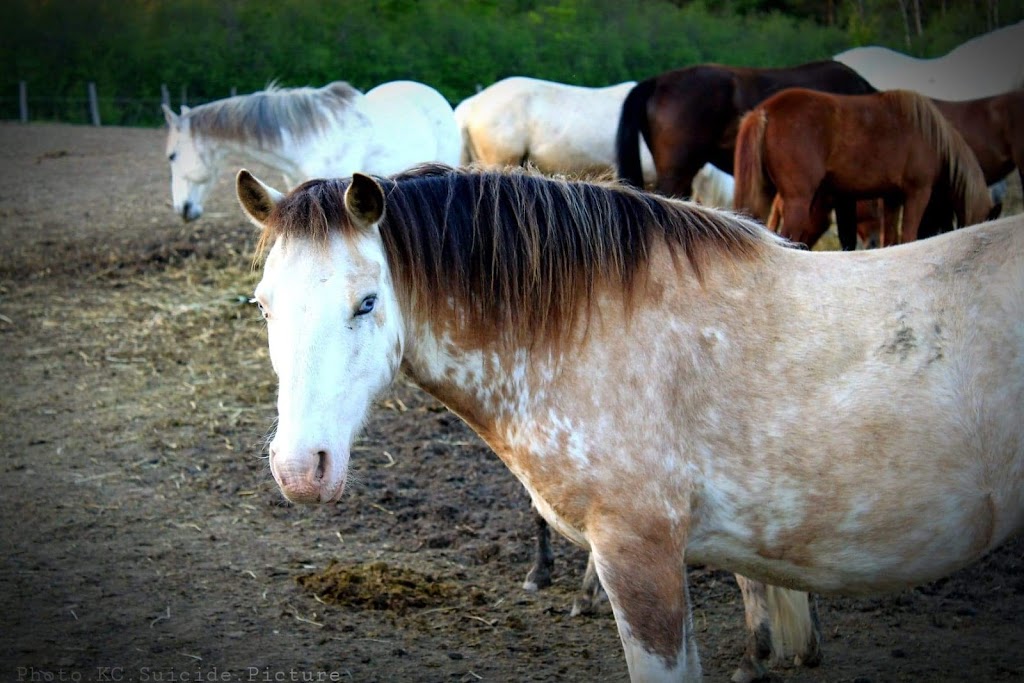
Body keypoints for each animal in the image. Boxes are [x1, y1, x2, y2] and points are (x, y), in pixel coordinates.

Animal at [737, 88, 991, 248]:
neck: (931, 136)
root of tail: (765, 111)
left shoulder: (892, 198)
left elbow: (890, 238)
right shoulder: (917, 193)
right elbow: (909, 234)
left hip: (766, 193)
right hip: (798, 200)